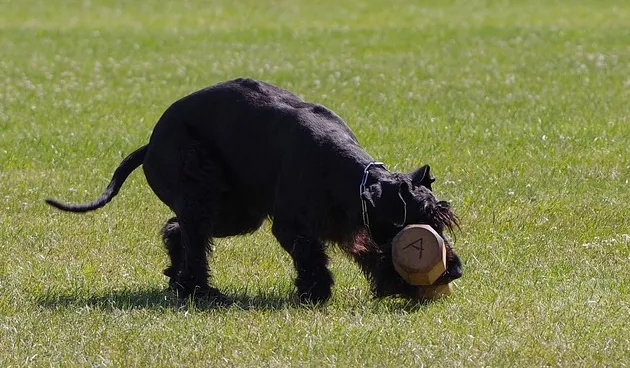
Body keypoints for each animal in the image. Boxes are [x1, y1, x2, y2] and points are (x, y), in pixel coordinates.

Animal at [44, 77, 462, 302]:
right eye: (421, 224)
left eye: (442, 221)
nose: (455, 269)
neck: (345, 174)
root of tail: (149, 144)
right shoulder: (292, 226)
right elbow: (312, 256)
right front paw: (316, 293)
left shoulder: (350, 226)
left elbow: (371, 251)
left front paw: (397, 284)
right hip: (202, 192)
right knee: (192, 238)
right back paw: (202, 293)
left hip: (234, 213)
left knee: (179, 231)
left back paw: (178, 280)